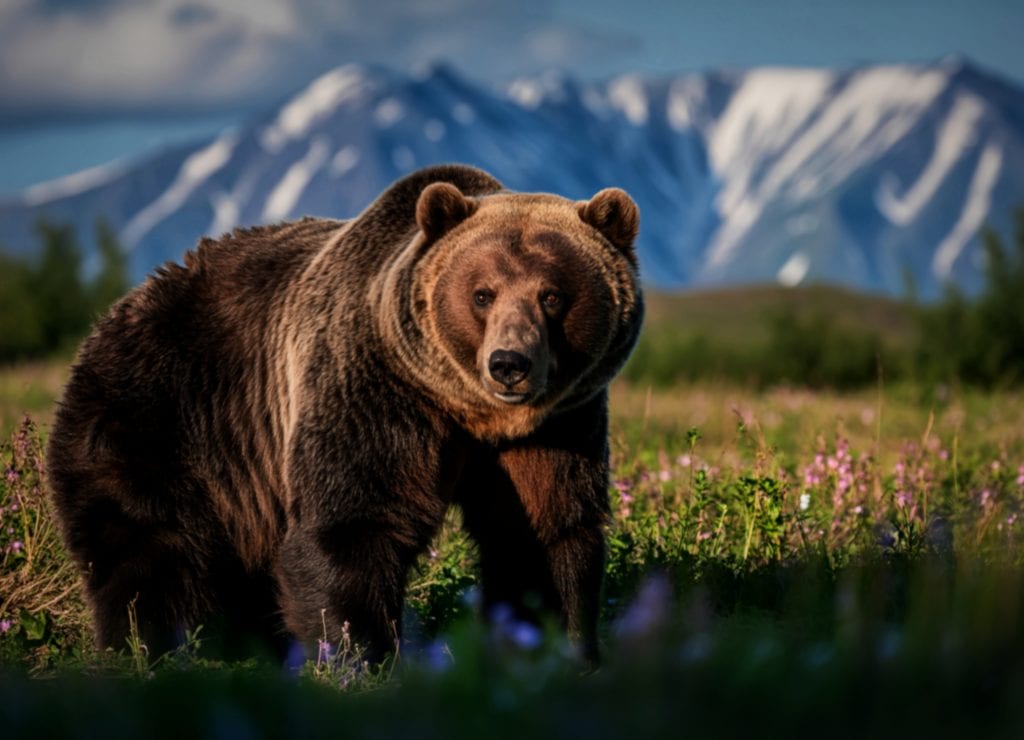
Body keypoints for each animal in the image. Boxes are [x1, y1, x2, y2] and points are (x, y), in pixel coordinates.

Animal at [46, 163, 643, 666]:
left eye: (551, 295)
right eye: (482, 293)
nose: (509, 364)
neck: (468, 412)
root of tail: (116, 312)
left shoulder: (559, 424)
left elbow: (545, 532)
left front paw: (559, 647)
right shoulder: (372, 387)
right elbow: (350, 527)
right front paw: (363, 657)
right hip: (158, 419)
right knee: (150, 550)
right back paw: (149, 648)